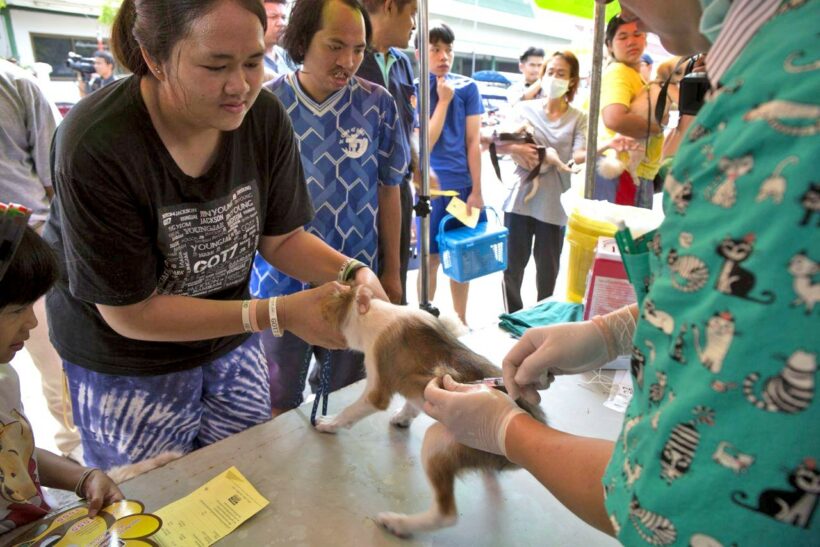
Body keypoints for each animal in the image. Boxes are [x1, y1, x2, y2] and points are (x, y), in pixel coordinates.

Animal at [318, 288, 548, 536]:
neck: (374, 315)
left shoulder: (375, 392)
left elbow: (349, 412)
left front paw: (329, 423)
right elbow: (412, 403)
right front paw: (402, 418)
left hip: (438, 441)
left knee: (446, 515)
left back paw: (398, 523)